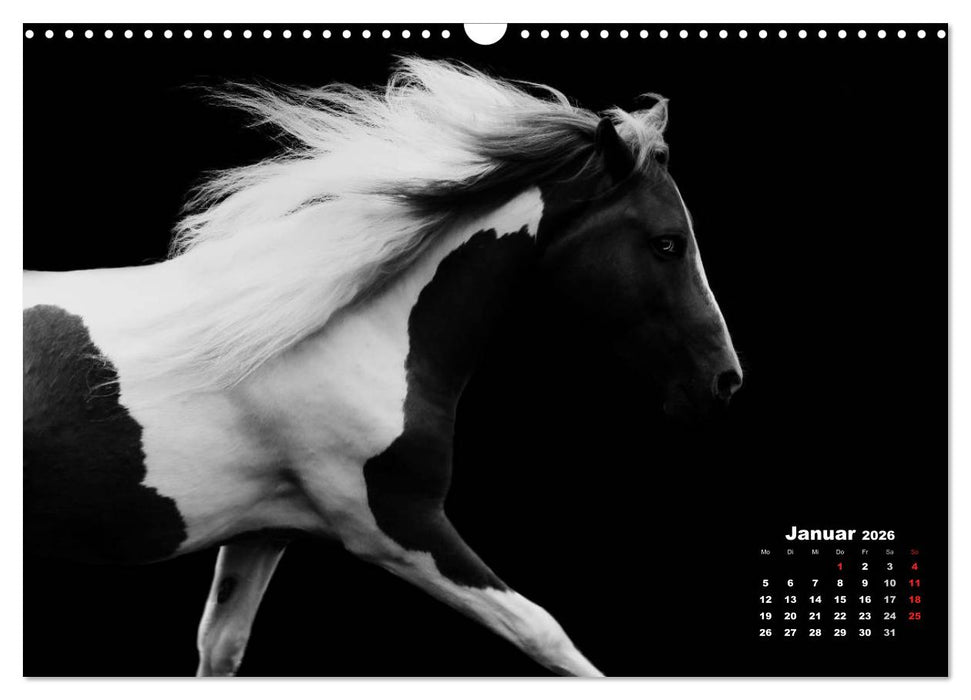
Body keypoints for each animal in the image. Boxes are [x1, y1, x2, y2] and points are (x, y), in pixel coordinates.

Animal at [23, 58, 742, 677]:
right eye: (667, 244)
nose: (726, 381)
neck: (345, 333)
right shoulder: (396, 526)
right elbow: (546, 632)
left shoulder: (263, 533)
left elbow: (219, 648)